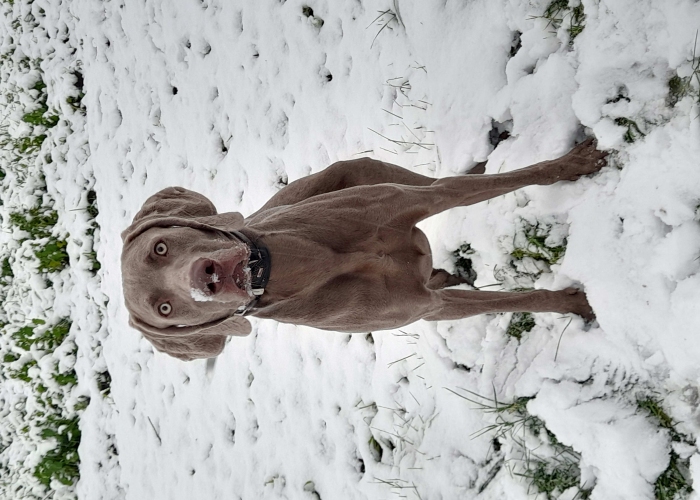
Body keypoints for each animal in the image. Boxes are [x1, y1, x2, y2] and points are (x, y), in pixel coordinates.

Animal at [121, 139, 608, 362]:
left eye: (161, 248)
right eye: (164, 309)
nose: (204, 276)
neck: (309, 264)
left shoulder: (415, 201)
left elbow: (497, 182)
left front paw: (572, 164)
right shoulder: (428, 307)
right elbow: (514, 301)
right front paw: (575, 303)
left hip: (364, 169)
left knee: (441, 177)